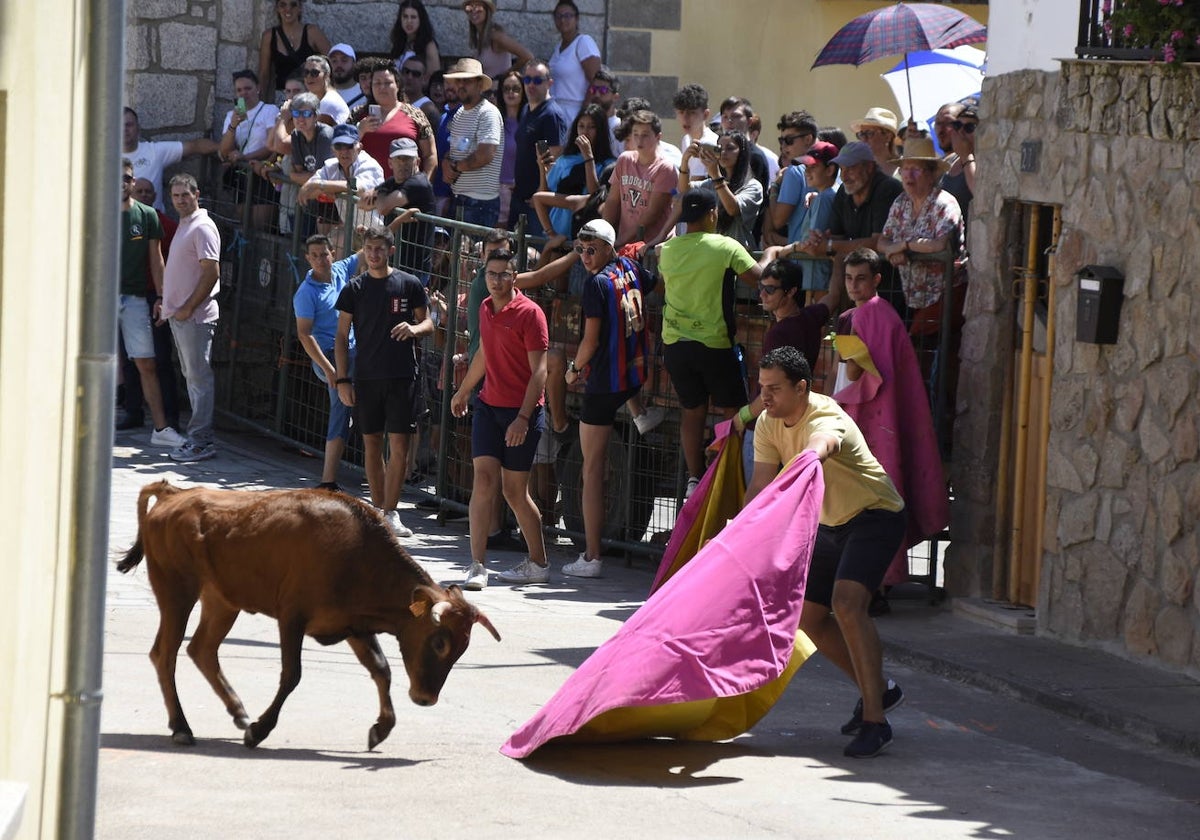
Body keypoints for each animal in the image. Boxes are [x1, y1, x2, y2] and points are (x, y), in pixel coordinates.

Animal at [114, 482, 499, 753]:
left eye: (462, 649)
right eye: (440, 642)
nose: (426, 698)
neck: (358, 554)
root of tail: (173, 495)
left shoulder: (353, 624)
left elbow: (381, 669)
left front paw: (380, 729)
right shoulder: (292, 616)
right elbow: (292, 675)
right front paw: (259, 730)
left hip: (222, 599)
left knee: (202, 649)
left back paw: (237, 711)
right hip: (176, 590)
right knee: (165, 653)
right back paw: (182, 726)